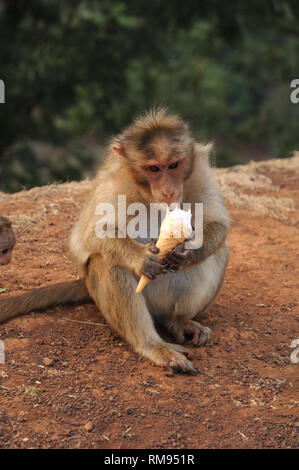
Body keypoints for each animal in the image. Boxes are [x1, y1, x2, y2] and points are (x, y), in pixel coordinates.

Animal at [0, 107, 230, 374]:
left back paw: (179, 320)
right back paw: (151, 344)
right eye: (154, 169)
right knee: (106, 261)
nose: (169, 191)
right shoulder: (113, 182)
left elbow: (218, 223)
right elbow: (92, 234)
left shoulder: (199, 172)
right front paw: (141, 258)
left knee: (220, 253)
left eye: (173, 165)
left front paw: (187, 254)